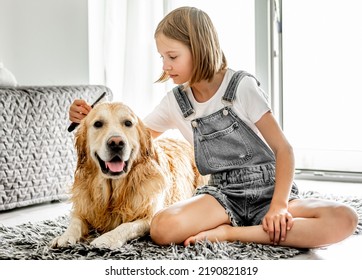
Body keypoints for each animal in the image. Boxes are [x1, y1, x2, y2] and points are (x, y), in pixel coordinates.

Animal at [51, 101, 204, 248]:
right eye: (98, 124)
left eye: (128, 123)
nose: (116, 143)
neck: (114, 189)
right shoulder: (83, 208)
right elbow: (75, 222)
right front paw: (64, 236)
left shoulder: (150, 215)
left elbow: (126, 226)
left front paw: (106, 238)